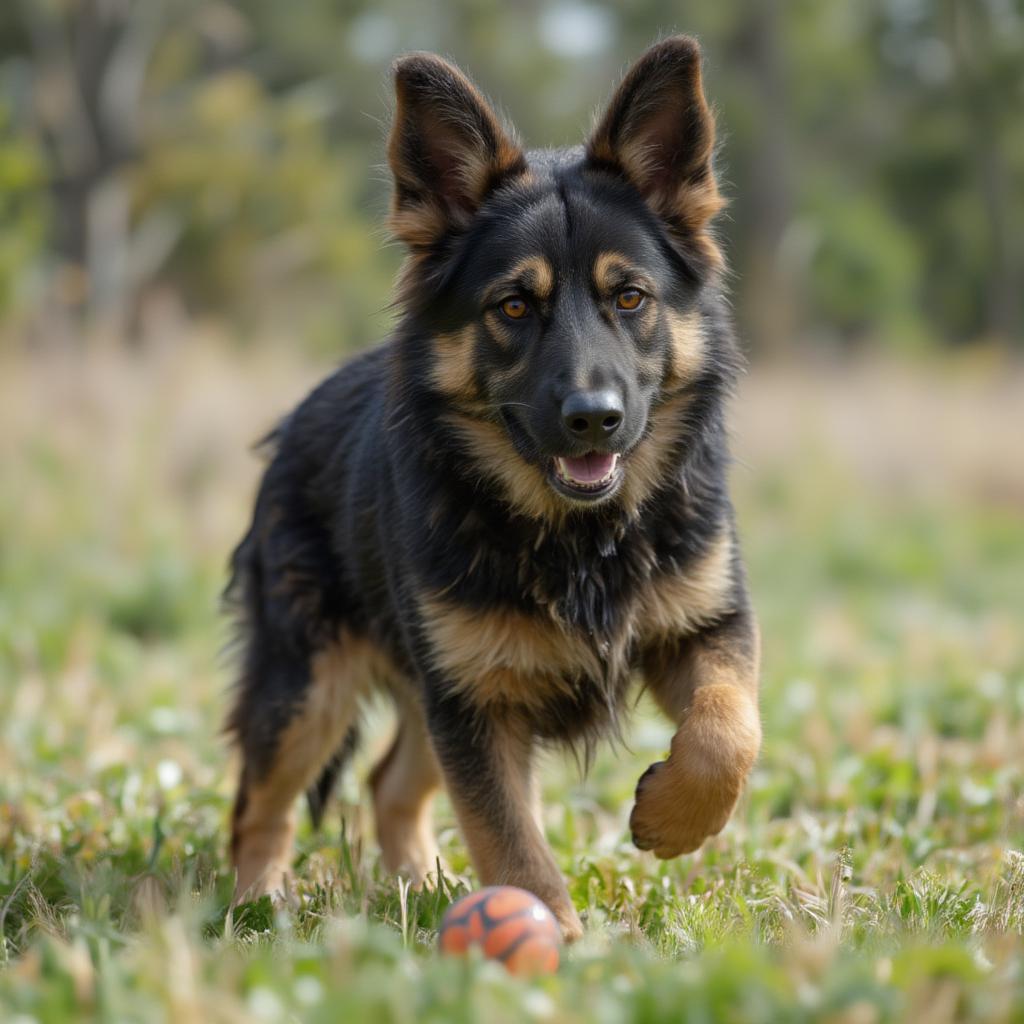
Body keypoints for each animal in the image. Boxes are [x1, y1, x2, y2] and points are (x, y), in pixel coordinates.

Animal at [228, 36, 765, 937]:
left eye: (631, 297)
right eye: (514, 306)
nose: (594, 419)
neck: (582, 538)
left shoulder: (705, 628)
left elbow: (729, 730)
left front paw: (673, 819)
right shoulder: (476, 707)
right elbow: (510, 837)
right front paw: (557, 936)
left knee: (388, 785)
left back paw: (419, 884)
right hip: (311, 688)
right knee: (257, 802)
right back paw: (255, 904)